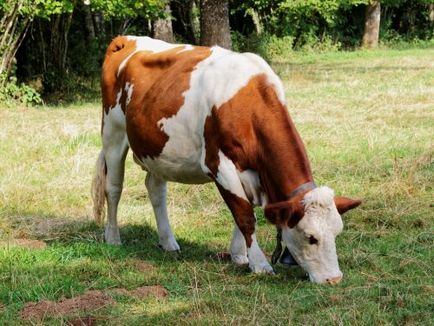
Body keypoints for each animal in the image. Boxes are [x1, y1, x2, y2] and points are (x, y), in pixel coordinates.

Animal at [92, 35, 362, 284]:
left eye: (337, 232)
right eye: (310, 237)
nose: (334, 279)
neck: (249, 103)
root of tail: (126, 39)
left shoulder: (254, 171)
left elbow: (246, 210)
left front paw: (239, 255)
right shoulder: (219, 165)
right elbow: (244, 214)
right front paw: (260, 264)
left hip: (158, 150)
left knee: (156, 189)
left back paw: (168, 241)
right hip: (113, 133)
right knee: (113, 188)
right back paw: (113, 237)